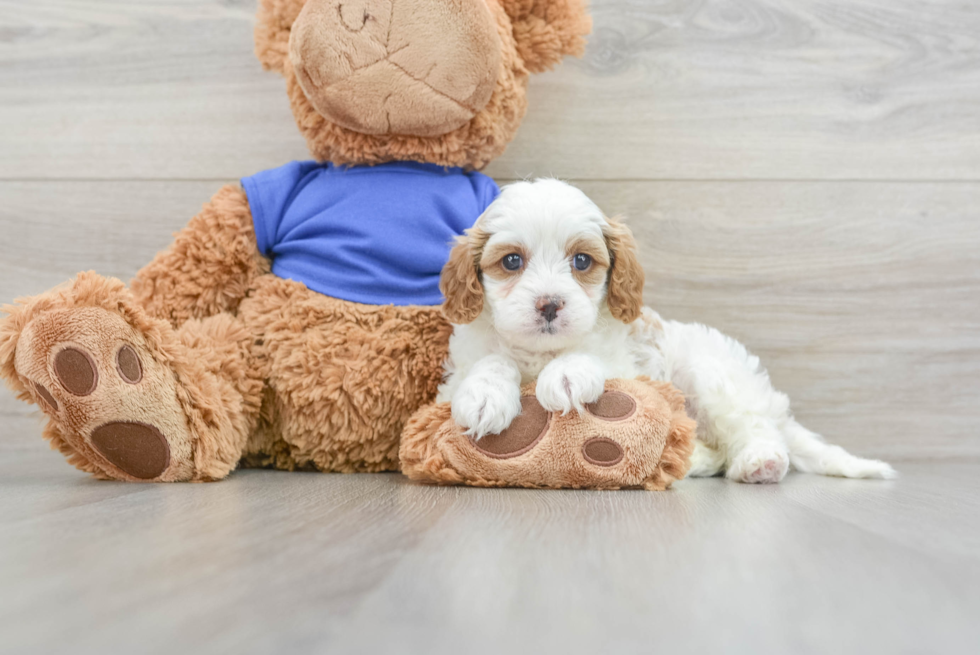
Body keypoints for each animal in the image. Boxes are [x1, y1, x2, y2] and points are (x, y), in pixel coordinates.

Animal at [436, 177, 896, 484]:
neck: (541, 352)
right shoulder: (458, 369)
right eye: (512, 261)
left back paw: (760, 461)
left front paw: (566, 375)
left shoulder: (627, 362)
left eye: (582, 261)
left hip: (711, 374)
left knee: (752, 426)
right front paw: (484, 396)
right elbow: (490, 361)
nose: (549, 304)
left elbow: (592, 357)